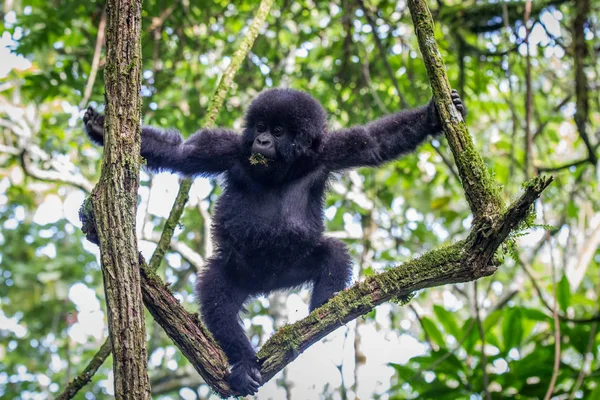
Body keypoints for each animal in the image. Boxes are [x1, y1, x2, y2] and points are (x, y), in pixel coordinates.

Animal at [82, 89, 466, 396]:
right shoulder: (228, 149)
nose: (262, 142)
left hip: (291, 270)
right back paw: (244, 363)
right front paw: (100, 127)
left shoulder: (327, 151)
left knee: (332, 252)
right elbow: (181, 152)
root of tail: (264, 286)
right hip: (237, 273)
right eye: (261, 127)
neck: (281, 167)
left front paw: (432, 117)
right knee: (217, 296)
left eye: (278, 131)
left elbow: (374, 142)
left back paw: (324, 310)